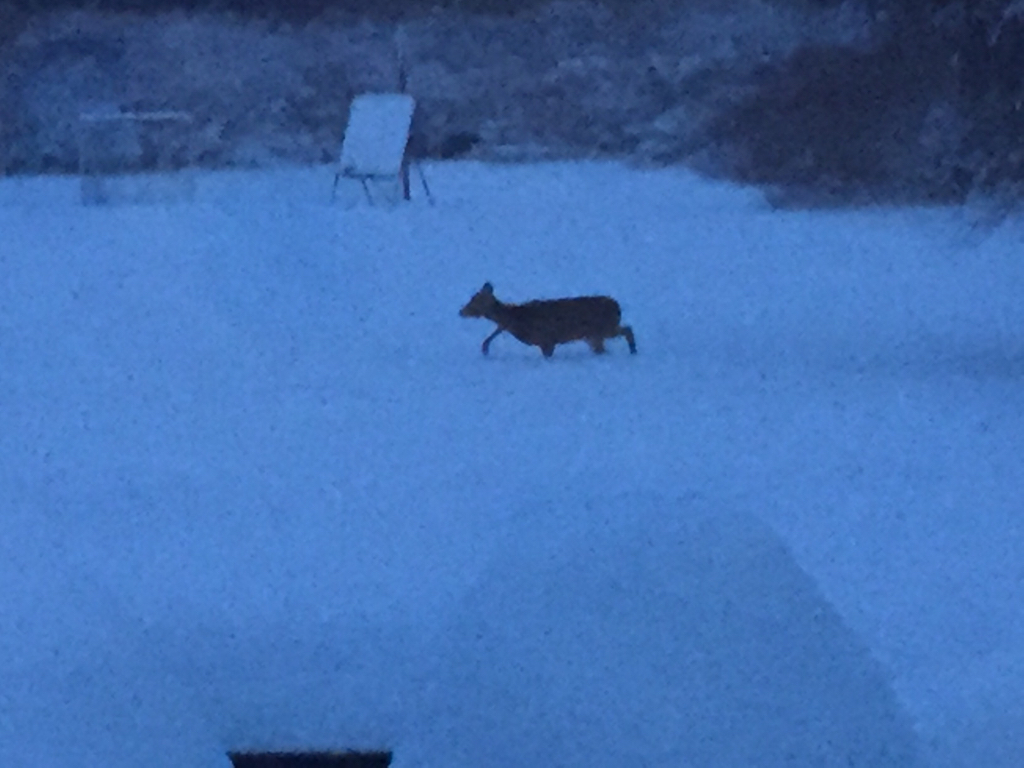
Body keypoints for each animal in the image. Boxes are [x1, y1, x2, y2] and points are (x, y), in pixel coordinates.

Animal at [459, 282, 637, 358]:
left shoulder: (547, 340)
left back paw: (633, 352)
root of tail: (617, 307)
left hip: (604, 329)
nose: (461, 311)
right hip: (595, 335)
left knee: (628, 329)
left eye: (475, 300)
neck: (517, 319)